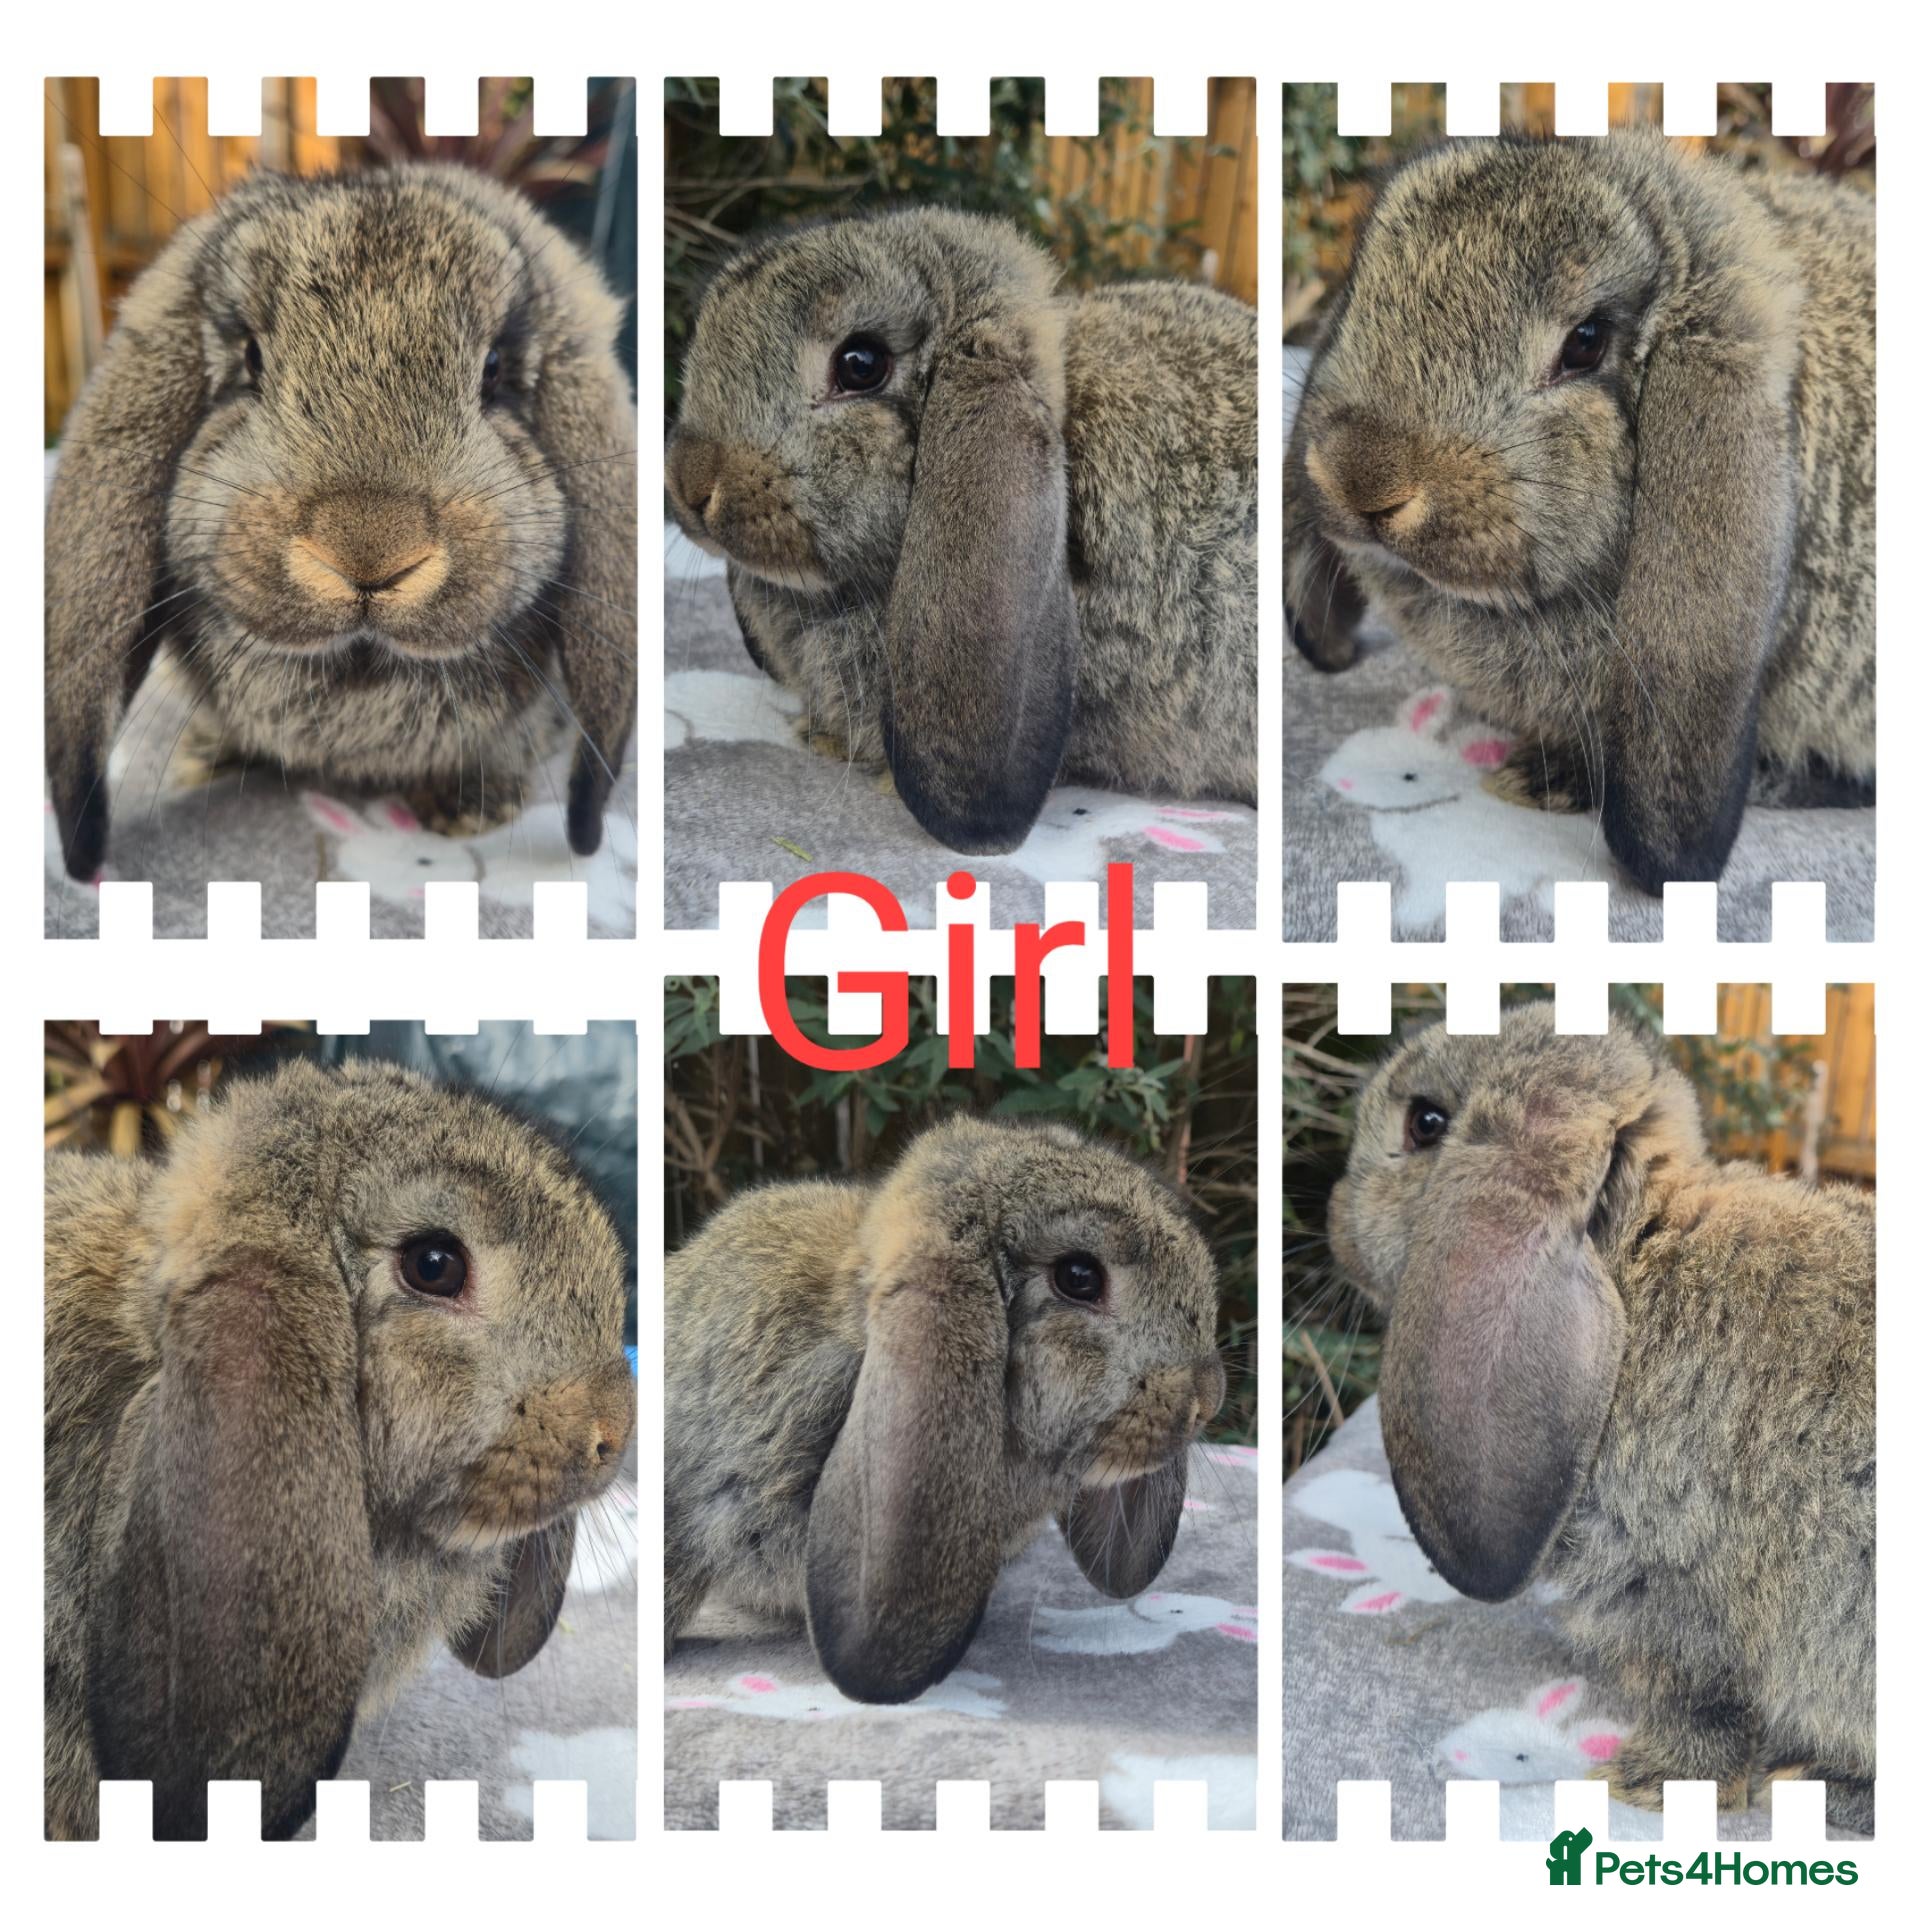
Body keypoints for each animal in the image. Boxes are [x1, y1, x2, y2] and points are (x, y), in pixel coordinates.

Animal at [1328, 1003, 1875, 1831]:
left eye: (1426, 1122)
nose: (1333, 1220)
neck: (1637, 1258)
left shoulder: (1681, 1593)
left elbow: (1708, 1710)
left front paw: (1642, 1784)